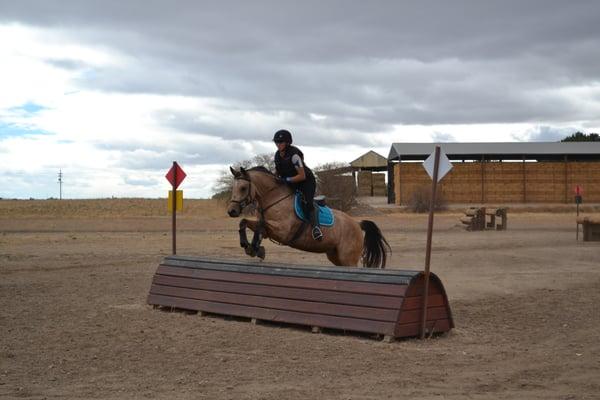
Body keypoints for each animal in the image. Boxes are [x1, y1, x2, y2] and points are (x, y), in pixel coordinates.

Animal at [225, 166, 390, 268]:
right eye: (234, 188)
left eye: (243, 188)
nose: (231, 211)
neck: (274, 199)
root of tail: (357, 223)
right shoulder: (268, 227)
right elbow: (245, 223)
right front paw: (251, 247)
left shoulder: (283, 231)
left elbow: (260, 226)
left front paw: (254, 248)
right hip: (335, 256)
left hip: (348, 258)